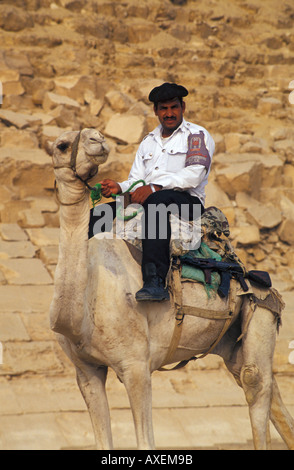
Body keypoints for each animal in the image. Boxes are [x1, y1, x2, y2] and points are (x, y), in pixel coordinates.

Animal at [49, 126, 294, 450]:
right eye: (62, 145)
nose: (97, 138)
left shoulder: (136, 365)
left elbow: (146, 442)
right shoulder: (86, 371)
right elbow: (103, 440)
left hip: (260, 307)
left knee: (255, 381)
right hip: (231, 341)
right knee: (266, 386)